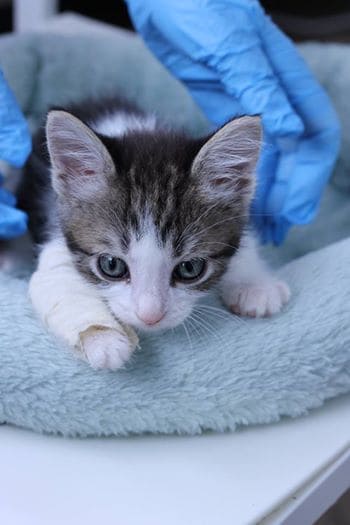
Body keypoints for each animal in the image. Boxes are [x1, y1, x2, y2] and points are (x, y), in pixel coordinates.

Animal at [19, 98, 290, 368]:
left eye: (190, 268)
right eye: (111, 265)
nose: (150, 317)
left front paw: (255, 286)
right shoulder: (56, 233)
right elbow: (57, 281)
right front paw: (102, 337)